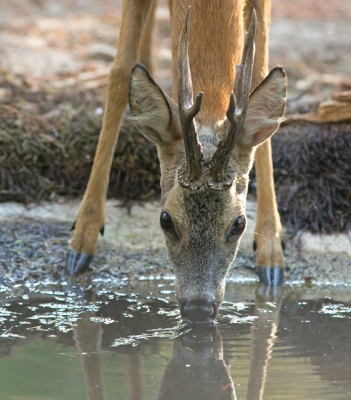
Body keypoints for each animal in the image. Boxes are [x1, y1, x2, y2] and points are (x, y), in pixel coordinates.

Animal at [67, 0, 288, 324]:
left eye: (239, 224)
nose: (198, 309)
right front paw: (82, 239)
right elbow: (119, 74)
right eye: (166, 220)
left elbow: (260, 71)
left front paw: (272, 255)